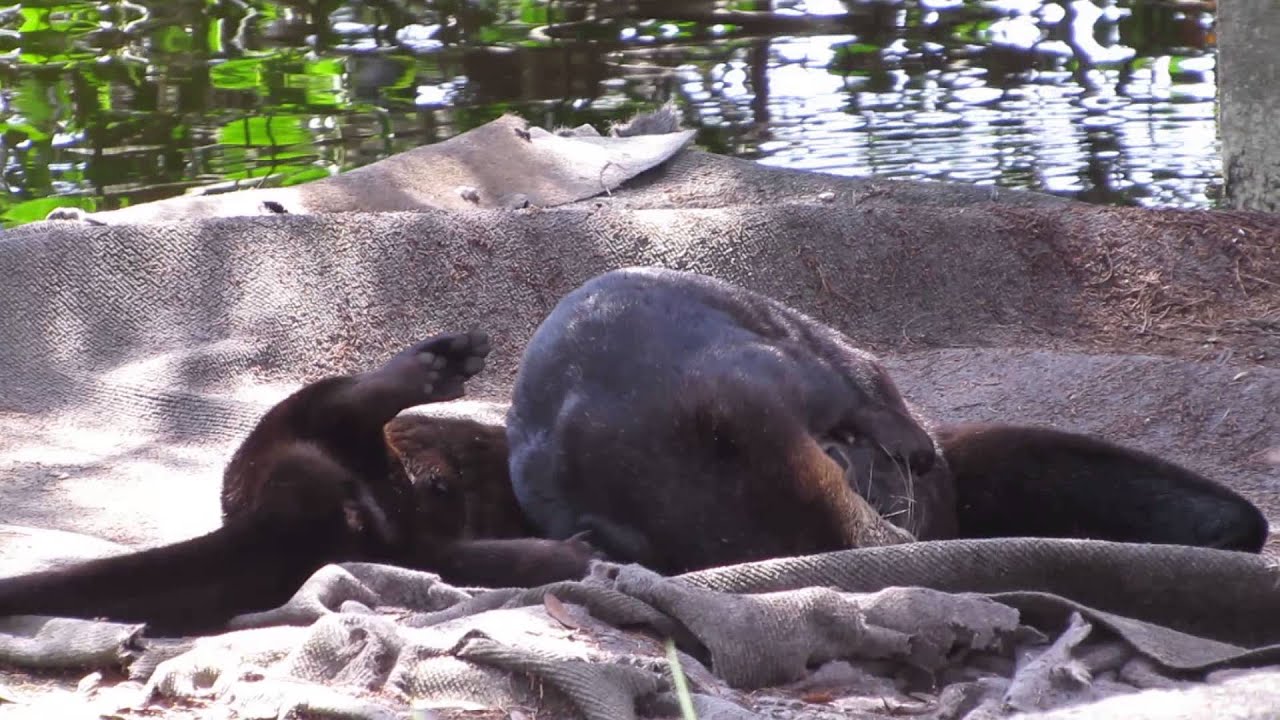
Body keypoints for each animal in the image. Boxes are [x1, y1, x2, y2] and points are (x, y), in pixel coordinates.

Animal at [0, 331, 595, 636]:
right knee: (338, 402)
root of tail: (271, 505)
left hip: (392, 540)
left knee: (441, 553)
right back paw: (433, 366)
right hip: (283, 430)